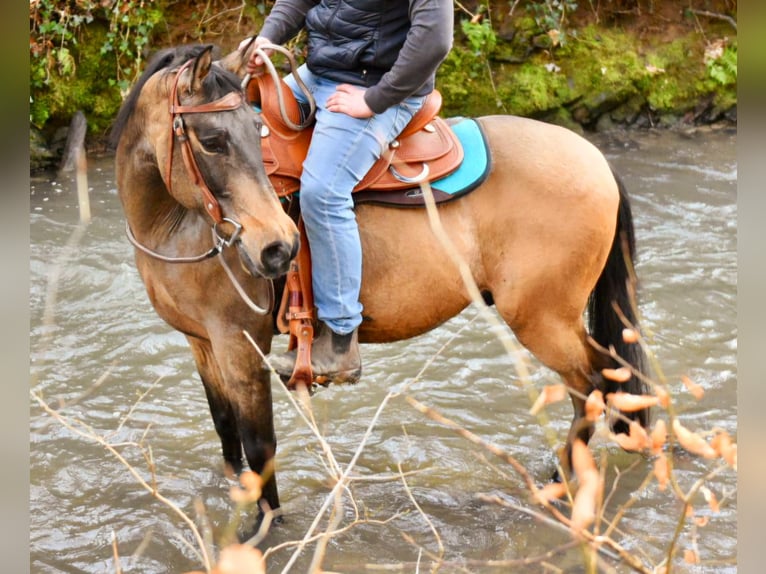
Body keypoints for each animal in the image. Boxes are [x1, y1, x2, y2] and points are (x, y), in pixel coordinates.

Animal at [110, 43, 650, 516]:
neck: (175, 221)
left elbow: (259, 447)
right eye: (213, 140)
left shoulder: (240, 343)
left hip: (542, 319)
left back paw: (560, 481)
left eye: (255, 131)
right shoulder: (201, 342)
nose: (278, 247)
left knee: (593, 382)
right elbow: (226, 433)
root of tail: (597, 160)